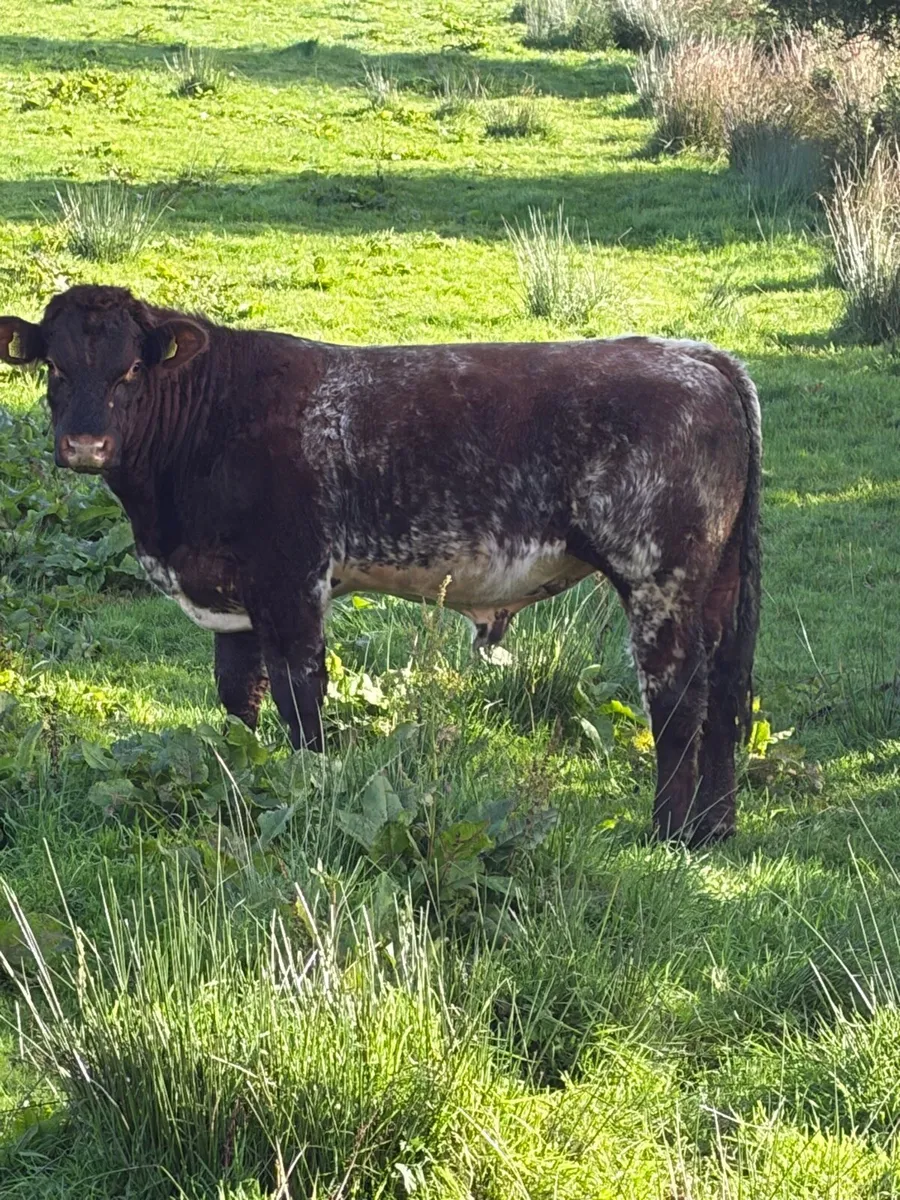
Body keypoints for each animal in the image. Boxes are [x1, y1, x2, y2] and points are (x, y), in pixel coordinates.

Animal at [0, 286, 761, 845]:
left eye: (130, 368)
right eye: (55, 367)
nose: (86, 444)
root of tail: (697, 355)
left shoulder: (292, 581)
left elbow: (300, 699)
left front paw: (307, 792)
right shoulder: (234, 596)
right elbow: (237, 701)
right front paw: (242, 779)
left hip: (658, 578)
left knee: (678, 700)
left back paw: (667, 832)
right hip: (716, 584)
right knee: (727, 692)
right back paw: (714, 829)